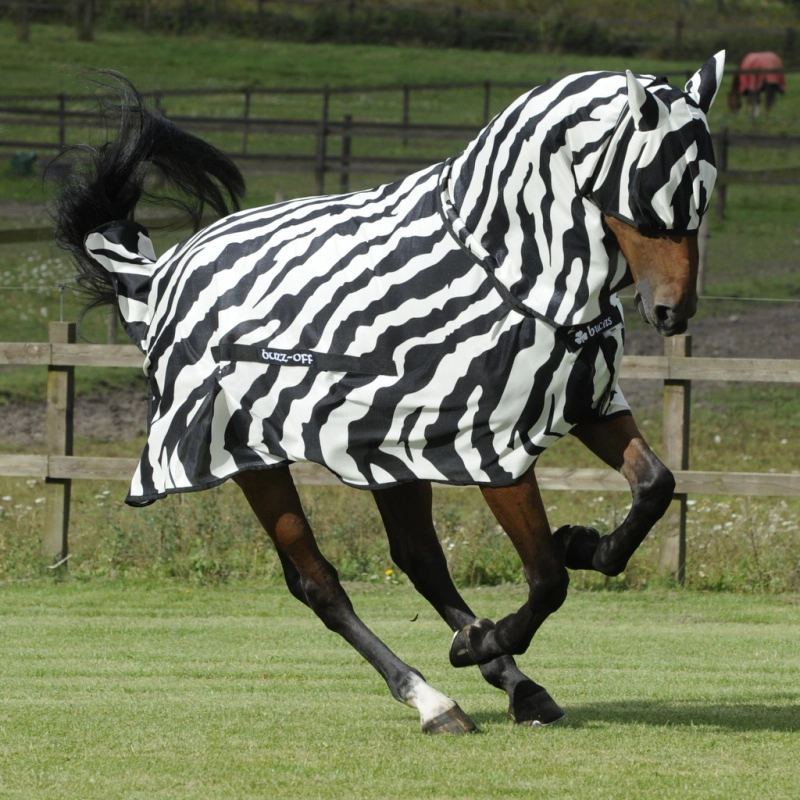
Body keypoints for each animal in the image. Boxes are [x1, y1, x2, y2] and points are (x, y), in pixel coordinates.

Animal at [55, 53, 724, 733]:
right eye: (650, 193)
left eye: (703, 195)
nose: (672, 312)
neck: (508, 271)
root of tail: (160, 275)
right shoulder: (495, 446)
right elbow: (546, 578)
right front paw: (488, 633)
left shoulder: (587, 403)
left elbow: (655, 486)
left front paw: (584, 547)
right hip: (251, 460)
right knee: (320, 584)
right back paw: (434, 698)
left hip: (385, 453)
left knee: (420, 560)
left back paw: (511, 681)